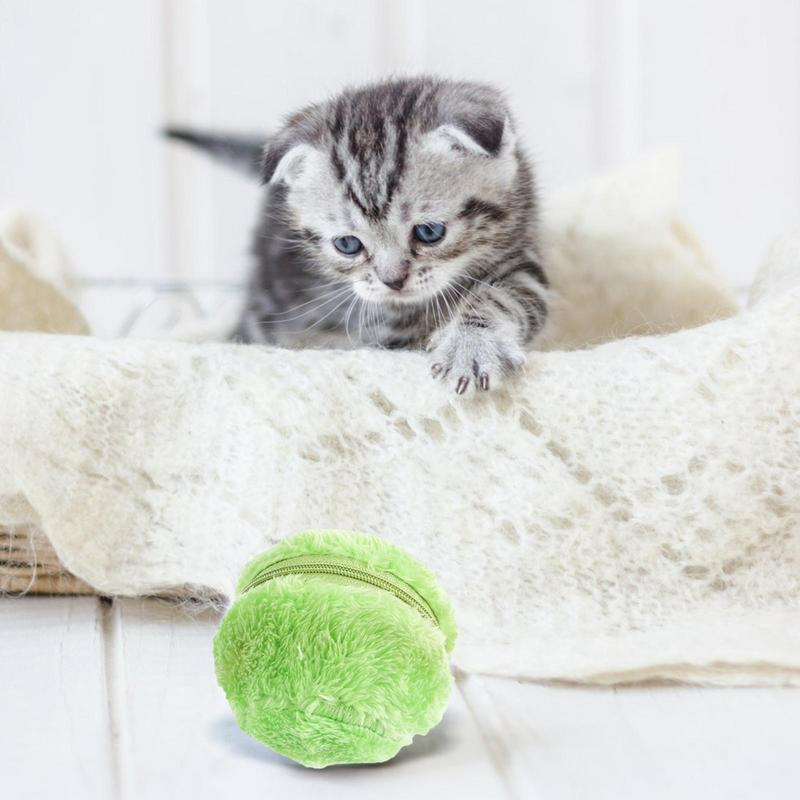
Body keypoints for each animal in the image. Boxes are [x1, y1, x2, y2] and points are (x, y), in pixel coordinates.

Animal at [166, 76, 548, 396]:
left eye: (429, 232)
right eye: (348, 245)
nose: (393, 281)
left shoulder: (521, 259)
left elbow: (502, 296)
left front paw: (472, 345)